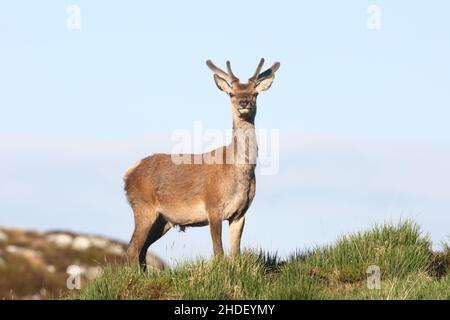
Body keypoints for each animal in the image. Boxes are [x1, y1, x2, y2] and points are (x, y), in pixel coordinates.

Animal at [123, 58, 278, 268]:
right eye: (231, 93)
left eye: (255, 93)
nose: (244, 102)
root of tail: (128, 174)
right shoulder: (213, 207)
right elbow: (218, 252)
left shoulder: (240, 213)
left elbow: (235, 254)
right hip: (143, 207)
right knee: (132, 249)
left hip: (163, 220)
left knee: (142, 250)